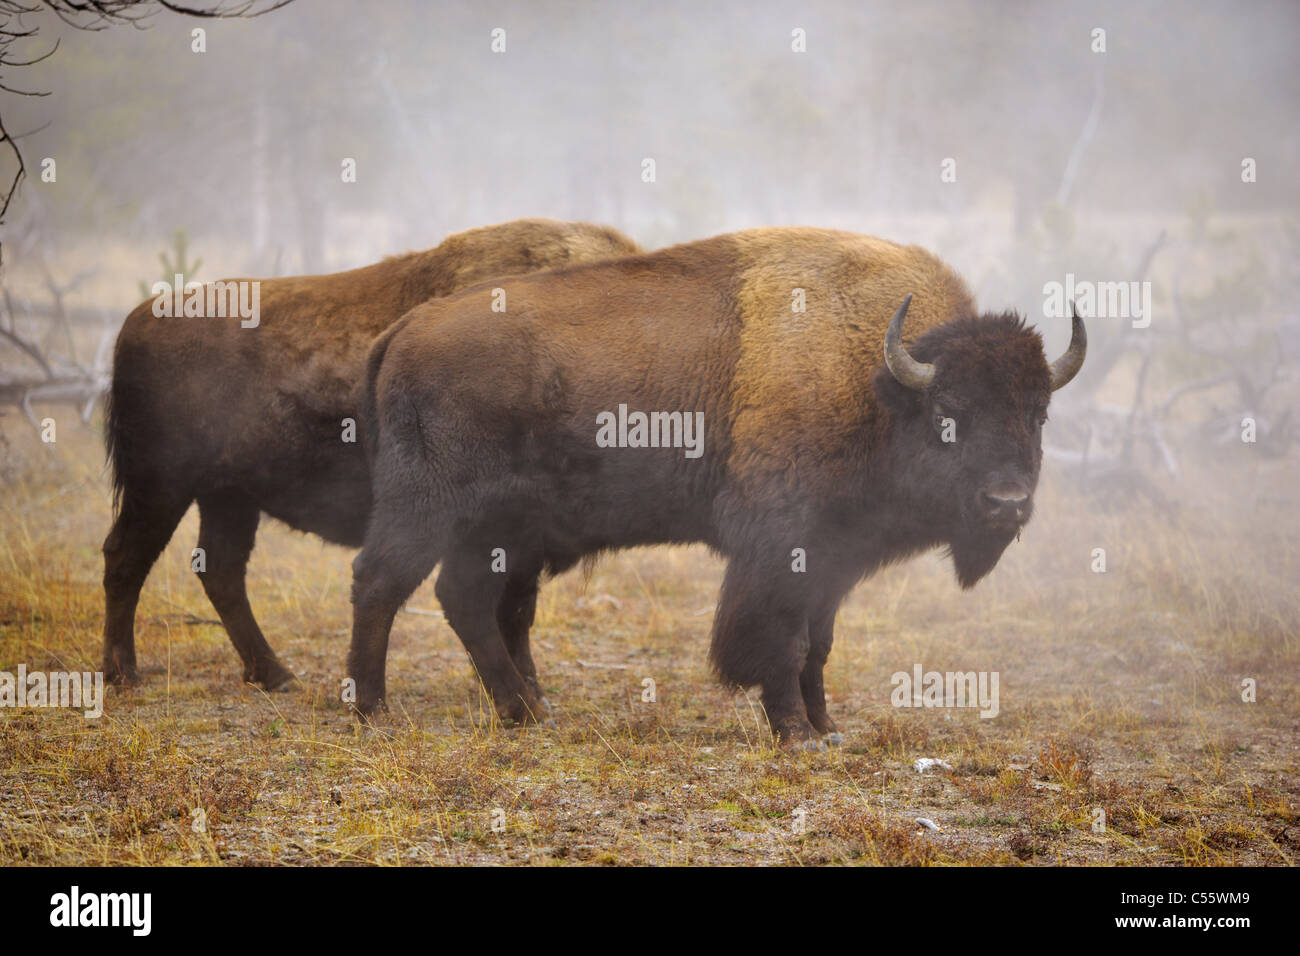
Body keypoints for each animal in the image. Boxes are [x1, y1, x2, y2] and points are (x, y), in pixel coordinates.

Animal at [104, 221, 642, 691]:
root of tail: (135, 321)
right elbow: (512, 607)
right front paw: (526, 685)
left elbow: (516, 607)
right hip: (161, 486)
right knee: (126, 557)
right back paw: (123, 673)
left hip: (229, 496)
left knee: (220, 570)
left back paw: (275, 674)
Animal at [348, 230, 1086, 749]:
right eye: (948, 414)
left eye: (1038, 414)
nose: (1007, 504)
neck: (878, 384)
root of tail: (403, 331)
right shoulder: (780, 551)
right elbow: (781, 642)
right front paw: (796, 736)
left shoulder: (834, 560)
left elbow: (819, 645)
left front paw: (828, 730)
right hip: (429, 511)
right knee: (383, 582)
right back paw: (375, 710)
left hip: (500, 529)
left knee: (470, 600)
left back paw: (527, 711)